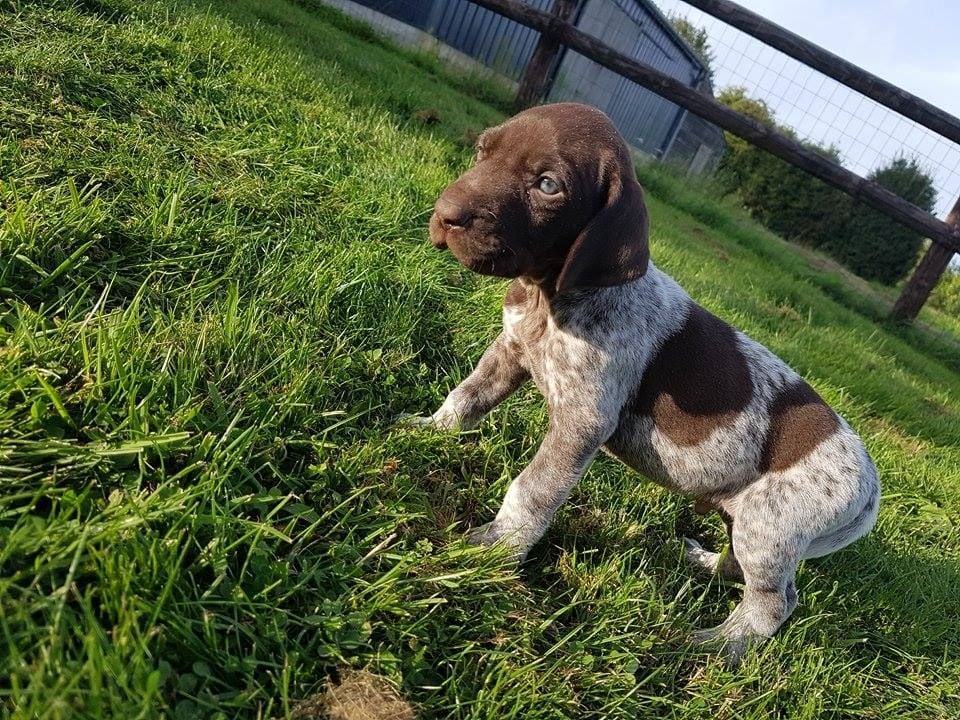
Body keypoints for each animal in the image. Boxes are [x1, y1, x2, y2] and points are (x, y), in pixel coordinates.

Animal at [405, 102, 880, 658]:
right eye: (484, 151)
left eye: (547, 185)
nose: (445, 213)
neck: (553, 299)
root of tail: (871, 487)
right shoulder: (509, 352)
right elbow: (466, 397)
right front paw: (427, 430)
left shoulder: (583, 421)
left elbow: (534, 489)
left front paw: (496, 549)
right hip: (747, 520)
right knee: (741, 570)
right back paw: (704, 564)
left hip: (771, 527)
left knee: (772, 604)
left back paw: (712, 646)